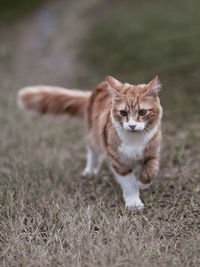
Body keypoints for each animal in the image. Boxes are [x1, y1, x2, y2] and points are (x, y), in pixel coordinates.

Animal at [17, 76, 162, 211]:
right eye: (123, 113)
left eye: (142, 112)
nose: (132, 125)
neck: (134, 139)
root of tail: (99, 86)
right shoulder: (118, 161)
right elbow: (129, 184)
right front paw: (134, 202)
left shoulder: (153, 153)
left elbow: (150, 172)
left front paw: (142, 183)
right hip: (94, 138)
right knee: (92, 153)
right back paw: (90, 171)